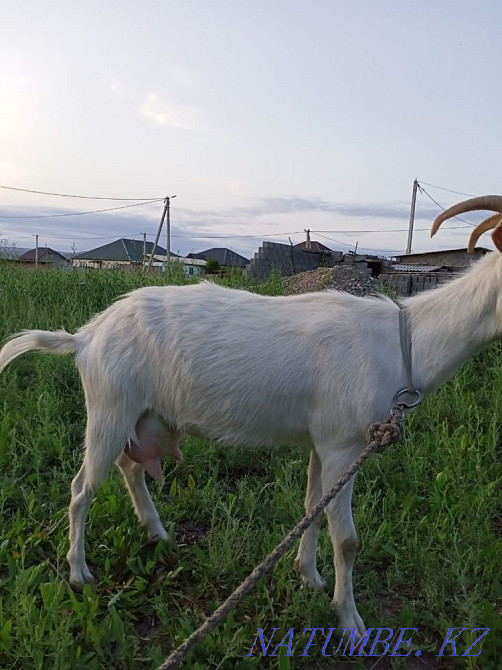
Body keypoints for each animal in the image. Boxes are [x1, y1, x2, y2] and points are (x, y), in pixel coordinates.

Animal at [1, 195, 501, 637]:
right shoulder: (344, 446)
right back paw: (79, 572)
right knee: (81, 489)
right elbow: (347, 540)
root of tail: (86, 336)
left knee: (130, 466)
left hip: (146, 415)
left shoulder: (322, 443)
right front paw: (350, 621)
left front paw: (309, 577)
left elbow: (311, 509)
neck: (404, 341)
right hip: (109, 407)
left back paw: (157, 533)